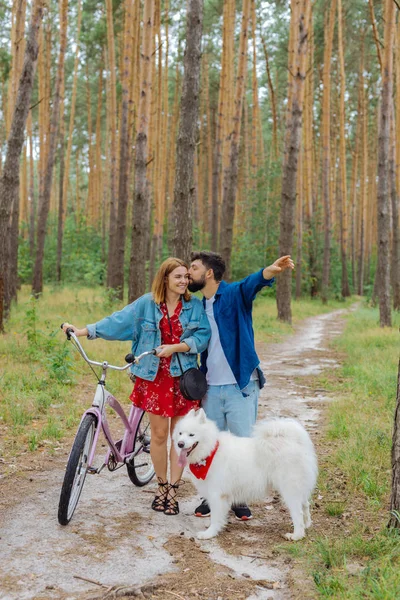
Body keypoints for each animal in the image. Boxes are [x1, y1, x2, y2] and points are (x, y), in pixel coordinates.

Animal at [173, 408, 318, 540]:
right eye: (180, 433)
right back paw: (307, 524)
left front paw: (209, 533)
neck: (210, 451)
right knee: (305, 505)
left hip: (289, 488)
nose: (180, 444)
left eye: (191, 435)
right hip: (298, 488)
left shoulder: (217, 494)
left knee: (298, 512)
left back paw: (296, 535)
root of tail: (295, 442)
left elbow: (215, 517)